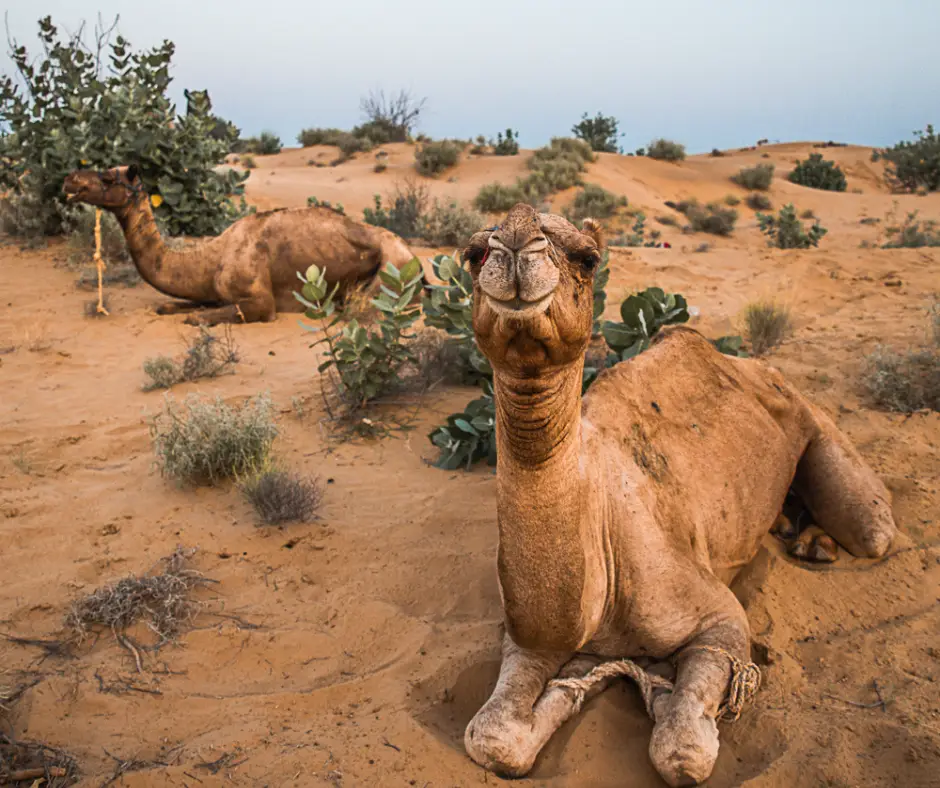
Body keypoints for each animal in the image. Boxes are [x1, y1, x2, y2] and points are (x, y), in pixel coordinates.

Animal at [64, 165, 416, 324]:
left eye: (108, 177)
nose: (71, 179)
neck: (212, 258)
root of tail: (411, 253)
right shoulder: (209, 291)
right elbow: (170, 306)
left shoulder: (260, 301)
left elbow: (196, 319)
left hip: (389, 271)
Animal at [460, 205, 896, 788]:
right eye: (473, 254)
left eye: (587, 258)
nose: (513, 240)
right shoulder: (528, 636)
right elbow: (491, 738)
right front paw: (580, 682)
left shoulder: (719, 619)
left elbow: (683, 752)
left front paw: (660, 694)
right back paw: (796, 533)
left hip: (815, 423)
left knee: (873, 532)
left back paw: (817, 544)